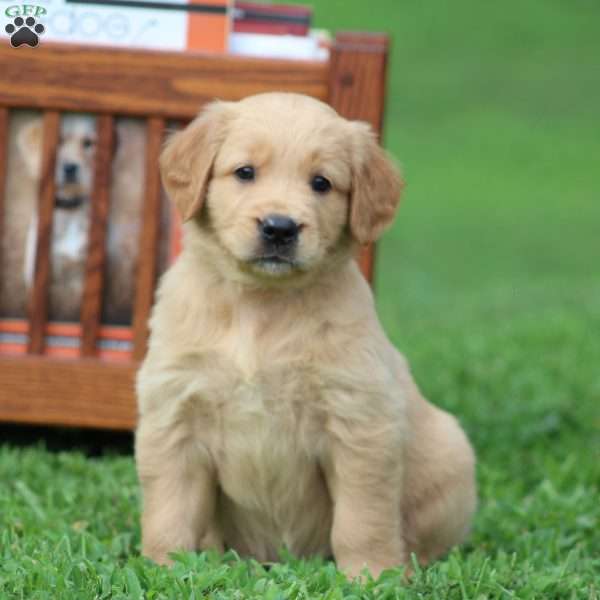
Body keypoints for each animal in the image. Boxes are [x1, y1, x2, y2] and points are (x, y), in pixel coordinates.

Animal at [137, 92, 478, 576]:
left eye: (321, 183)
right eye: (245, 172)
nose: (279, 227)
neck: (261, 305)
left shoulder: (358, 422)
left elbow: (362, 519)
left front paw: (373, 577)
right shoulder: (174, 414)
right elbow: (170, 512)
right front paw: (164, 569)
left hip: (451, 456)